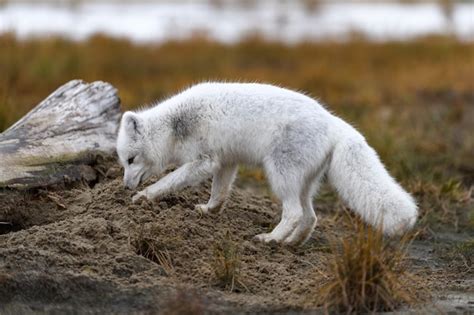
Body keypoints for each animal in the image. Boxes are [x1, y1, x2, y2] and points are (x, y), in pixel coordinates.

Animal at [116, 82, 416, 246]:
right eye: (123, 162)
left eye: (131, 159)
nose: (125, 185)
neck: (176, 125)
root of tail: (334, 122)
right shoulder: (226, 162)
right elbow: (219, 192)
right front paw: (209, 210)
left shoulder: (204, 161)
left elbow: (169, 181)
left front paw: (145, 196)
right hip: (303, 183)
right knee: (310, 216)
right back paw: (291, 243)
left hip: (280, 174)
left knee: (294, 213)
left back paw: (271, 239)